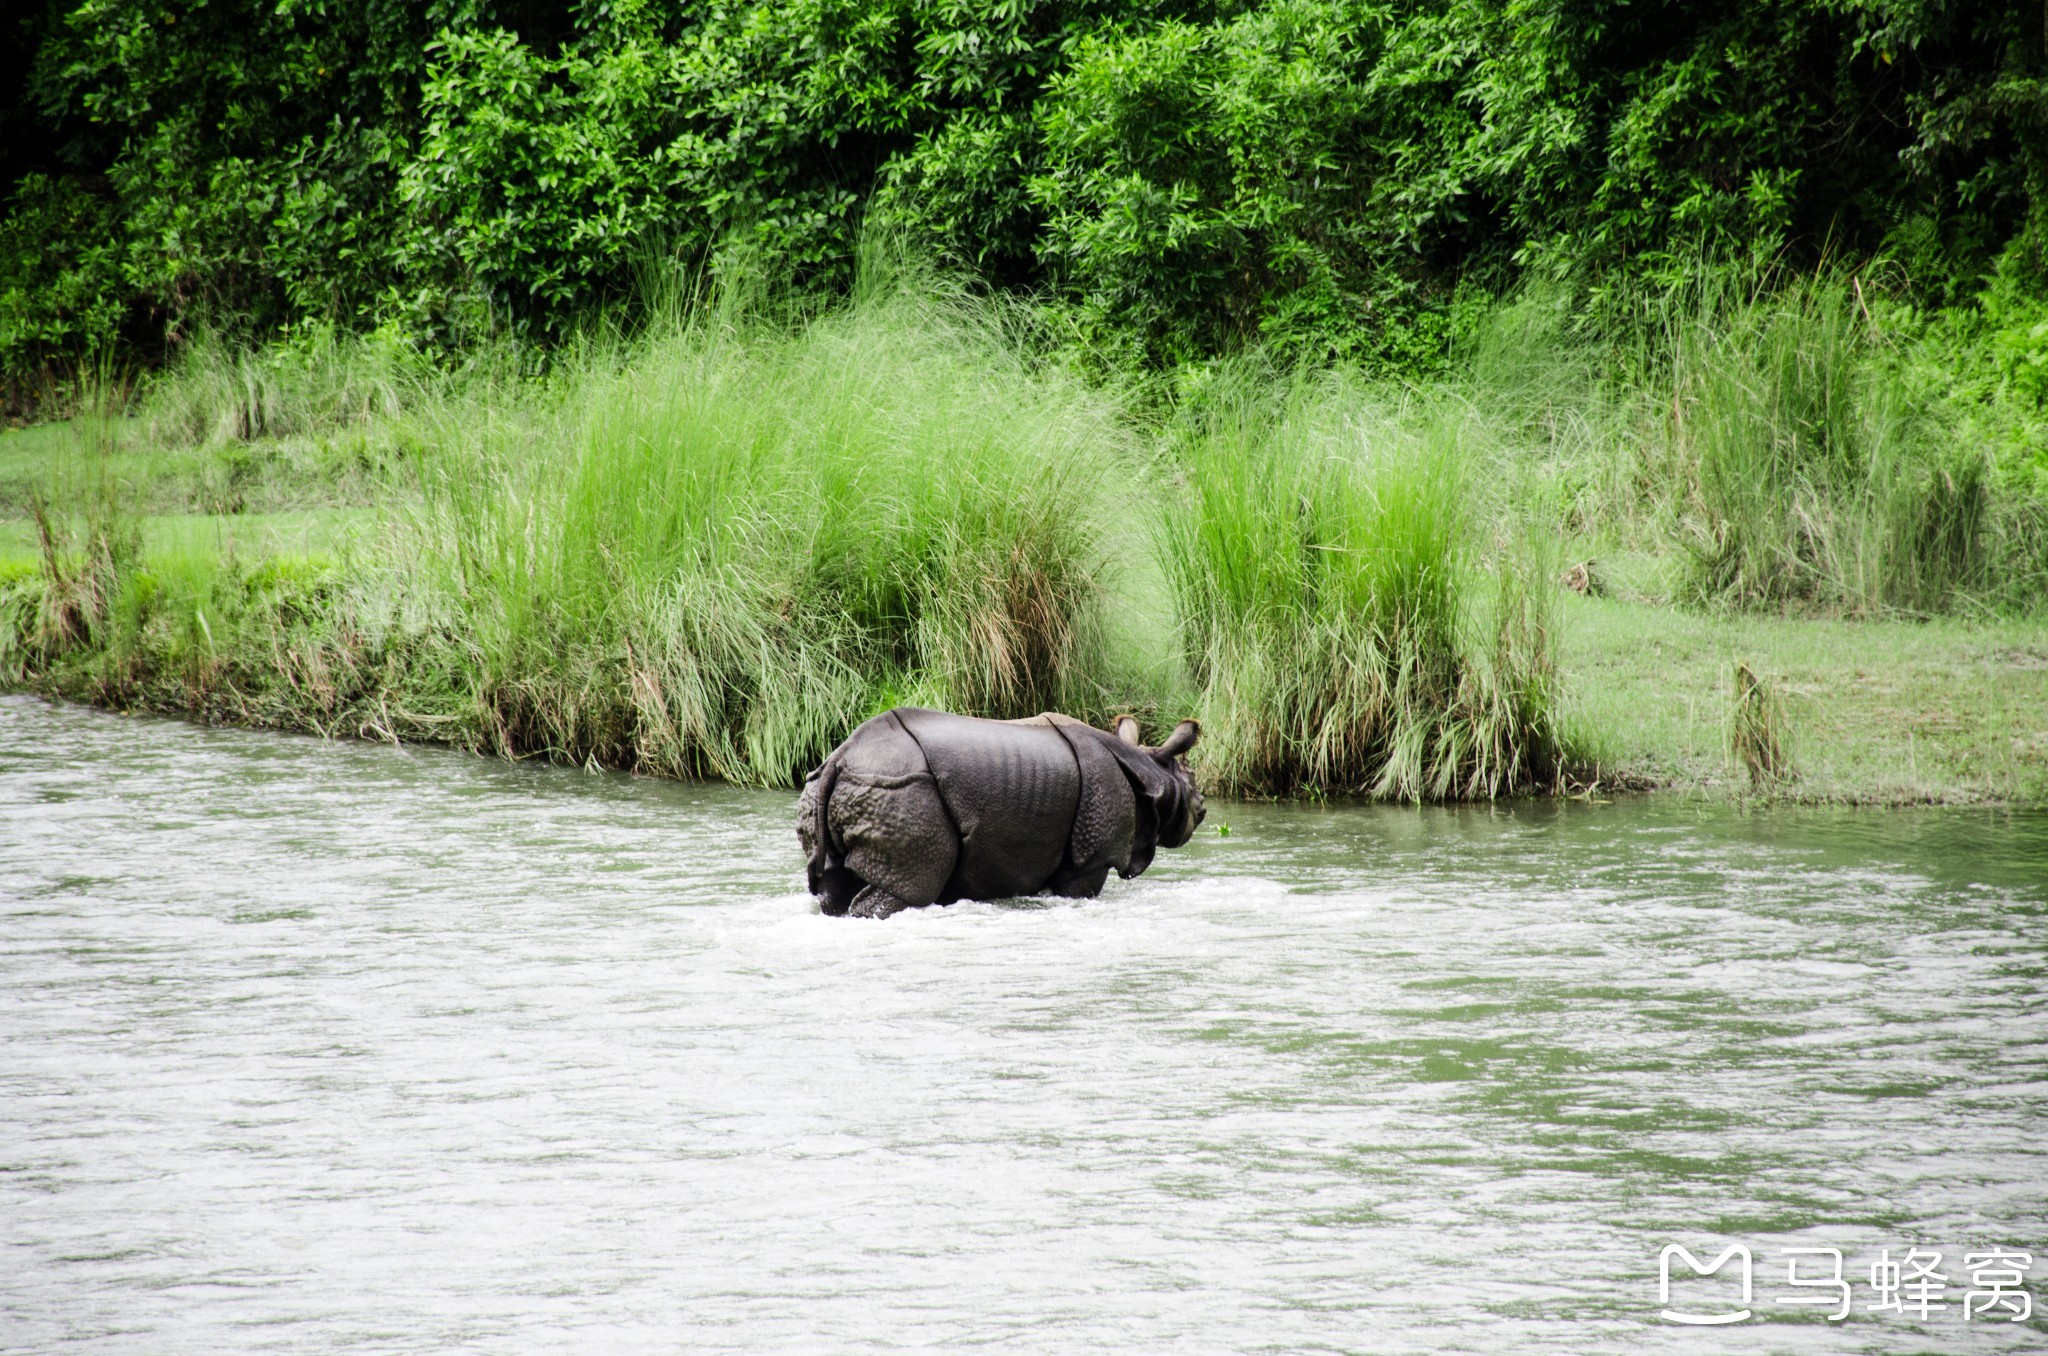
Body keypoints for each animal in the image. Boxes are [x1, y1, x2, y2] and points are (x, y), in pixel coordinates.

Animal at [794, 712, 1196, 925]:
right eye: (1192, 788)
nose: (1204, 808)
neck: (1148, 770)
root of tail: (839, 759)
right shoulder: (1092, 857)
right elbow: (1079, 889)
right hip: (902, 787)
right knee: (910, 885)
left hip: (834, 788)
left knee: (834, 889)